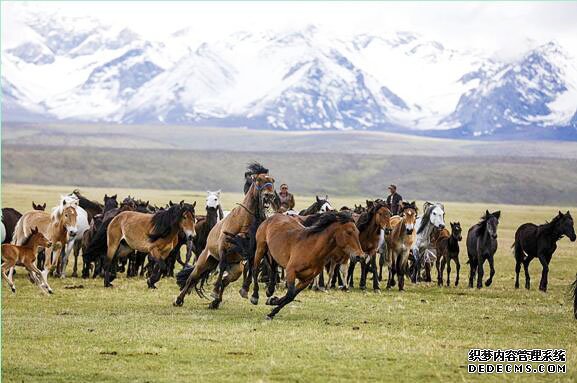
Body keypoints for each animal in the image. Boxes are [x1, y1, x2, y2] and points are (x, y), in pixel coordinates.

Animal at [173, 173, 276, 308]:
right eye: (259, 179)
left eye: (272, 181)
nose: (270, 195)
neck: (244, 220)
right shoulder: (223, 247)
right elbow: (222, 266)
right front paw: (214, 291)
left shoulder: (254, 251)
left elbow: (253, 268)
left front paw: (249, 292)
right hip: (203, 262)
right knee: (192, 278)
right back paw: (179, 299)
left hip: (235, 271)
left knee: (225, 281)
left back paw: (215, 302)